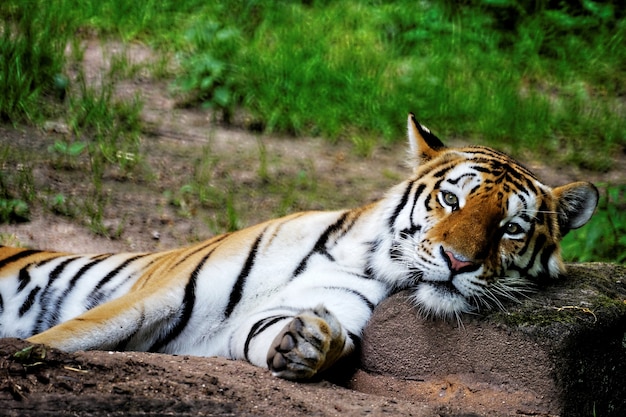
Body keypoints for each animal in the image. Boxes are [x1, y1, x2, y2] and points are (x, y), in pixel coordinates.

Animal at [0, 113, 596, 376]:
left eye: (511, 228)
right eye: (451, 200)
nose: (458, 261)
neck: (363, 258)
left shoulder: (245, 328)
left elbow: (279, 331)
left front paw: (314, 344)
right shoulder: (153, 298)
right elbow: (65, 337)